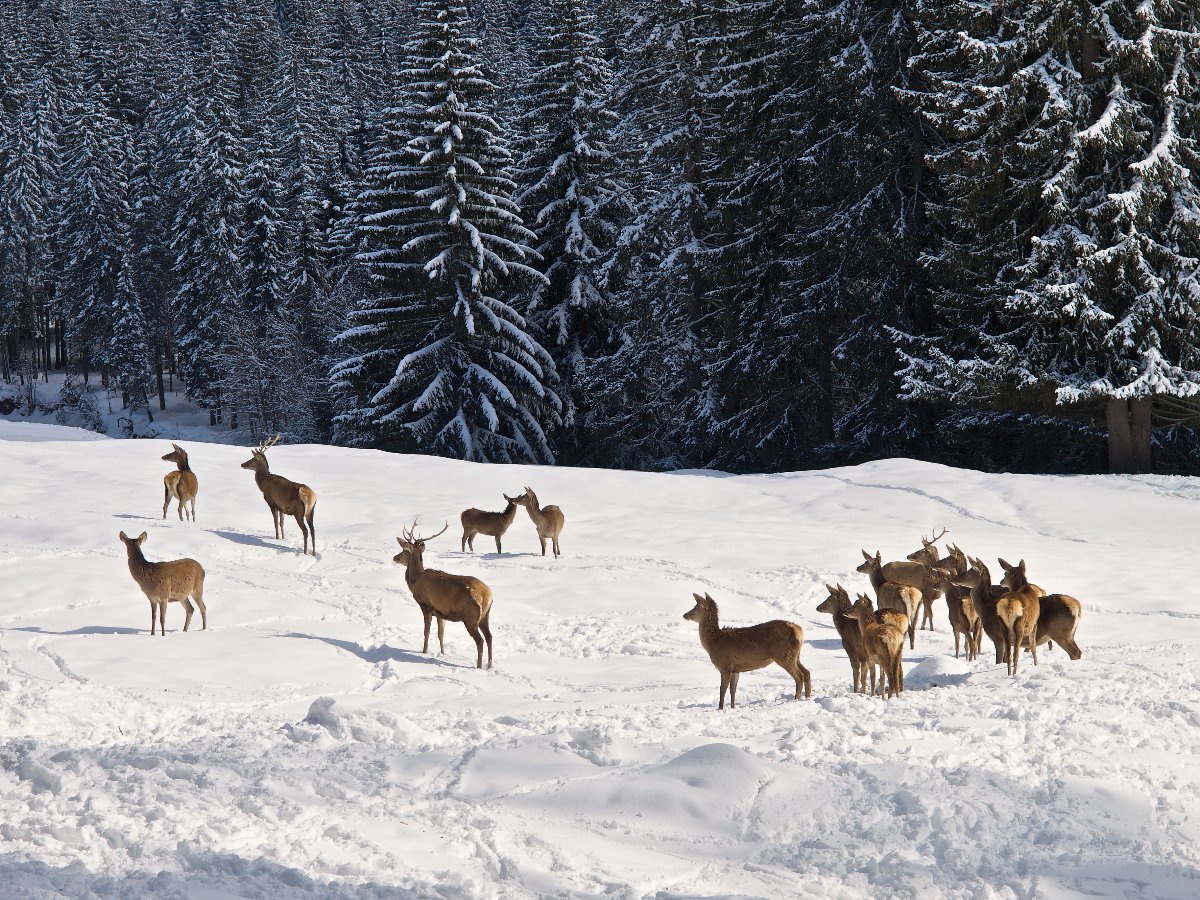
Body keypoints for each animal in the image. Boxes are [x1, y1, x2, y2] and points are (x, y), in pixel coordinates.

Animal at [396, 520, 494, 672]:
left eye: (405, 550)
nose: (395, 557)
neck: (414, 582)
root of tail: (486, 595)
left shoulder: (426, 606)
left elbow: (426, 632)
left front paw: (424, 652)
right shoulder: (440, 612)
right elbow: (441, 634)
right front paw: (443, 653)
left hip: (470, 617)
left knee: (480, 640)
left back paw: (478, 667)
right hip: (485, 615)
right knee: (489, 637)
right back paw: (489, 665)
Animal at [681, 592, 811, 710]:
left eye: (697, 606)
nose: (684, 615)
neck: (714, 643)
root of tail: (799, 630)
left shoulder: (725, 666)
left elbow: (722, 690)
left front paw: (720, 708)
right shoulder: (736, 669)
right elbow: (733, 690)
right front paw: (733, 707)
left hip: (784, 655)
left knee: (799, 676)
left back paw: (796, 699)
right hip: (795, 655)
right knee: (806, 672)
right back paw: (808, 697)